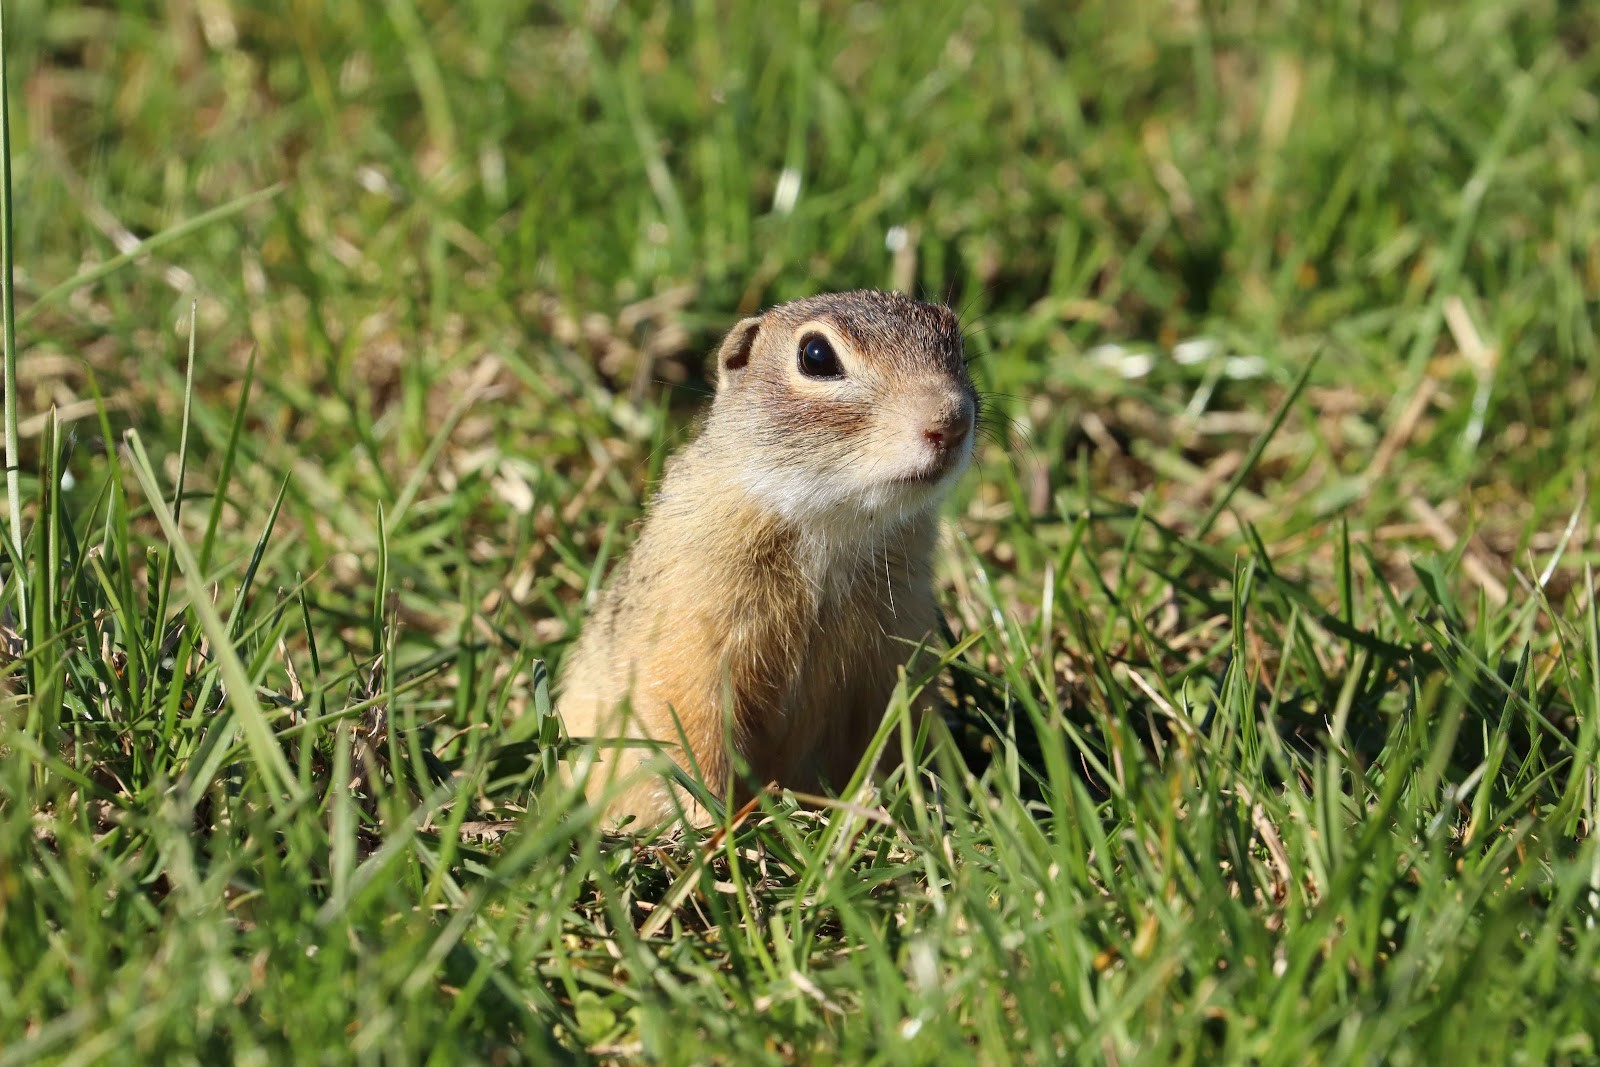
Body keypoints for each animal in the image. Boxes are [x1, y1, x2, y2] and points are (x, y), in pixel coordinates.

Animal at [556, 287, 966, 831]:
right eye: (816, 356)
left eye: (956, 340)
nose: (952, 422)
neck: (832, 530)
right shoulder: (693, 636)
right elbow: (687, 727)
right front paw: (714, 823)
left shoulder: (898, 644)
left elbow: (898, 728)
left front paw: (917, 803)